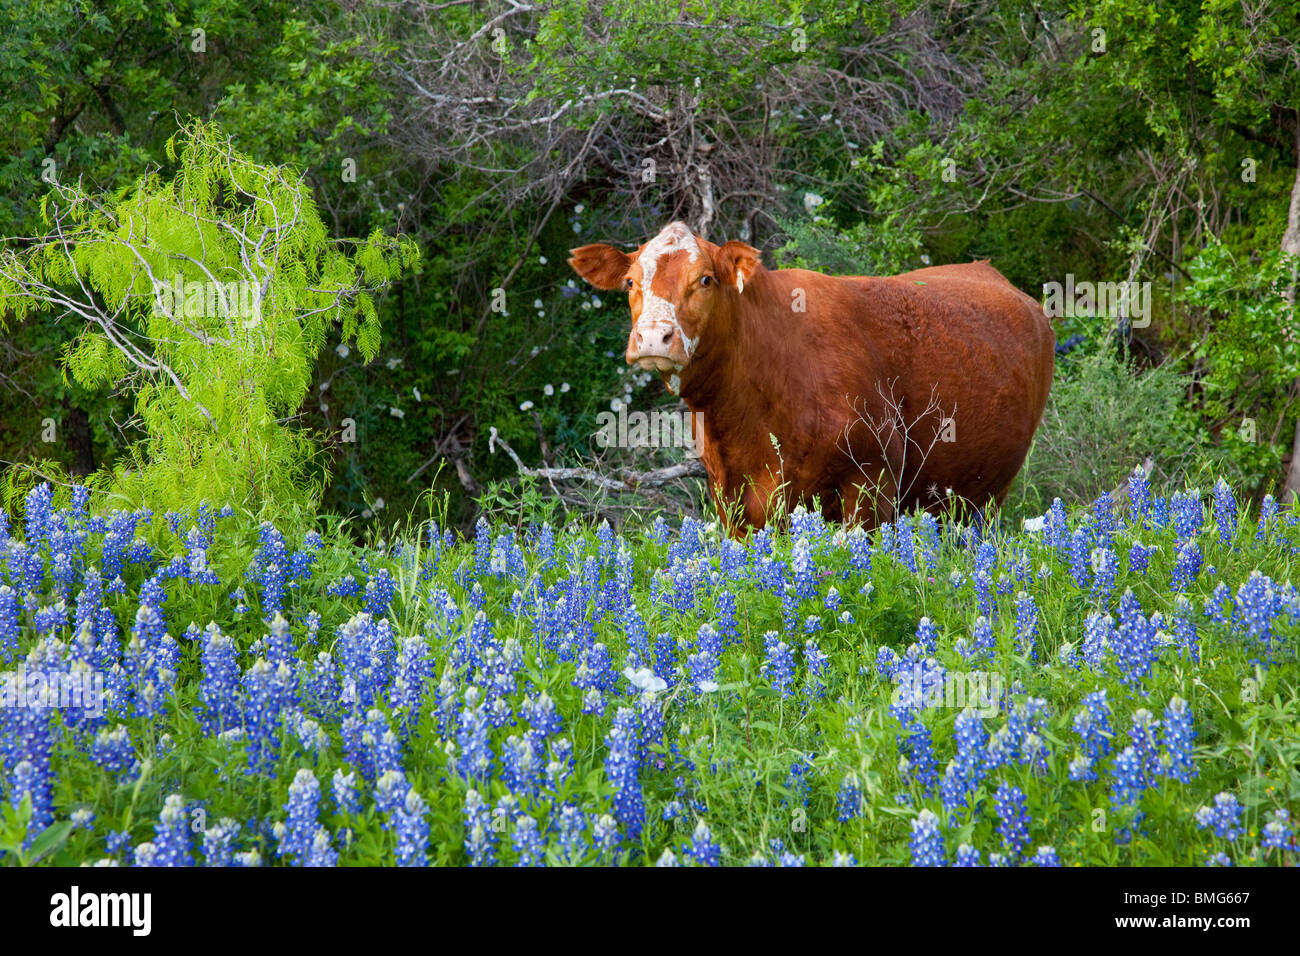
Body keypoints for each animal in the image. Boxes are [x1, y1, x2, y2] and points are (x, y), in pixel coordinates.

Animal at [568, 221, 1054, 535]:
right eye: (631, 282)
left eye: (705, 279)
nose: (654, 337)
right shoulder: (732, 500)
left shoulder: (872, 483)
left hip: (986, 496)